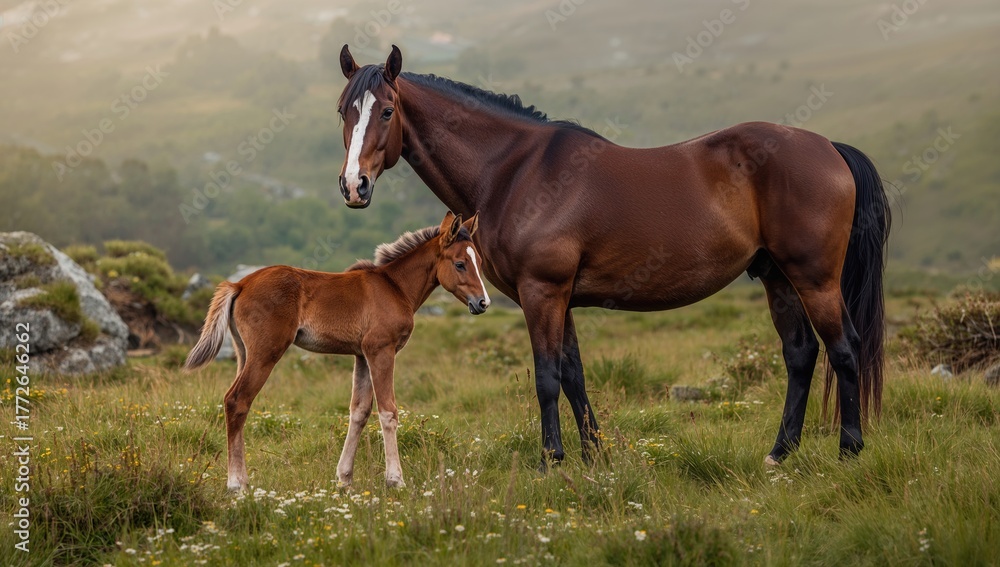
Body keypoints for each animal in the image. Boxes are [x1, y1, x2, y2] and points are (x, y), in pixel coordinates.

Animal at [184, 212, 490, 490]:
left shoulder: (362, 355)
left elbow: (359, 412)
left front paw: (344, 478)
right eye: (460, 264)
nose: (483, 303)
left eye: (479, 262)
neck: (395, 287)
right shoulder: (382, 350)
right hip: (265, 354)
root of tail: (239, 283)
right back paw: (236, 484)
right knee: (237, 400)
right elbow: (388, 411)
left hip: (244, 353)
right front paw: (395, 480)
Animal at [334, 46, 892, 470]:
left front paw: (551, 460)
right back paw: (779, 454)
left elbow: (547, 378)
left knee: (844, 349)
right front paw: (592, 456)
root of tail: (828, 148)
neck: (513, 170)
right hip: (776, 276)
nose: (354, 186)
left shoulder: (542, 292)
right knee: (800, 354)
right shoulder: (561, 299)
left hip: (814, 277)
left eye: (386, 111)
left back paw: (849, 451)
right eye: (344, 110)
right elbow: (574, 376)